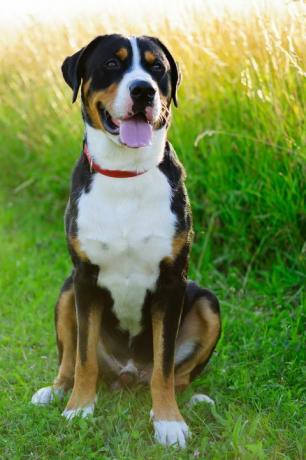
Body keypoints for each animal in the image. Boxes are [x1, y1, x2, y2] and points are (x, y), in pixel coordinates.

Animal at [31, 34, 221, 448]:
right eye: (112, 65)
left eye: (157, 68)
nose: (143, 91)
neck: (125, 174)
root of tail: (127, 374)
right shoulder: (85, 279)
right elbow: (83, 357)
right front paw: (79, 409)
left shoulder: (172, 281)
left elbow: (164, 366)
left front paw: (168, 421)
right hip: (67, 289)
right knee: (70, 359)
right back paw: (55, 391)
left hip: (206, 301)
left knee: (175, 375)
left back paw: (191, 400)